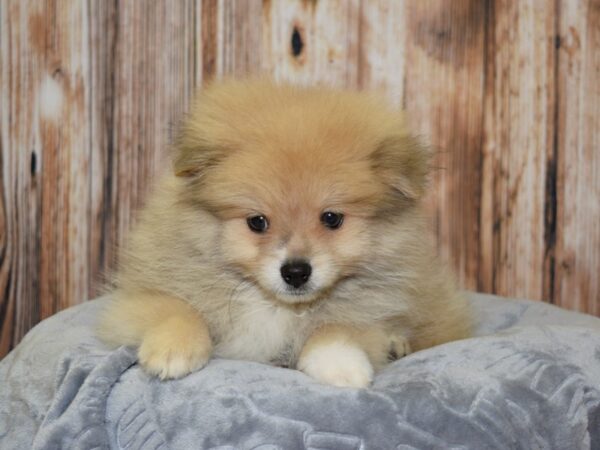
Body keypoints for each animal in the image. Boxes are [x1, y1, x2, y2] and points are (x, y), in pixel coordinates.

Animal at [97, 79, 474, 388]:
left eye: (331, 218)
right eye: (257, 222)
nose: (295, 272)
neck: (278, 307)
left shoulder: (372, 307)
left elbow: (335, 329)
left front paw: (341, 364)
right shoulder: (138, 296)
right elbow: (176, 308)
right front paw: (174, 349)